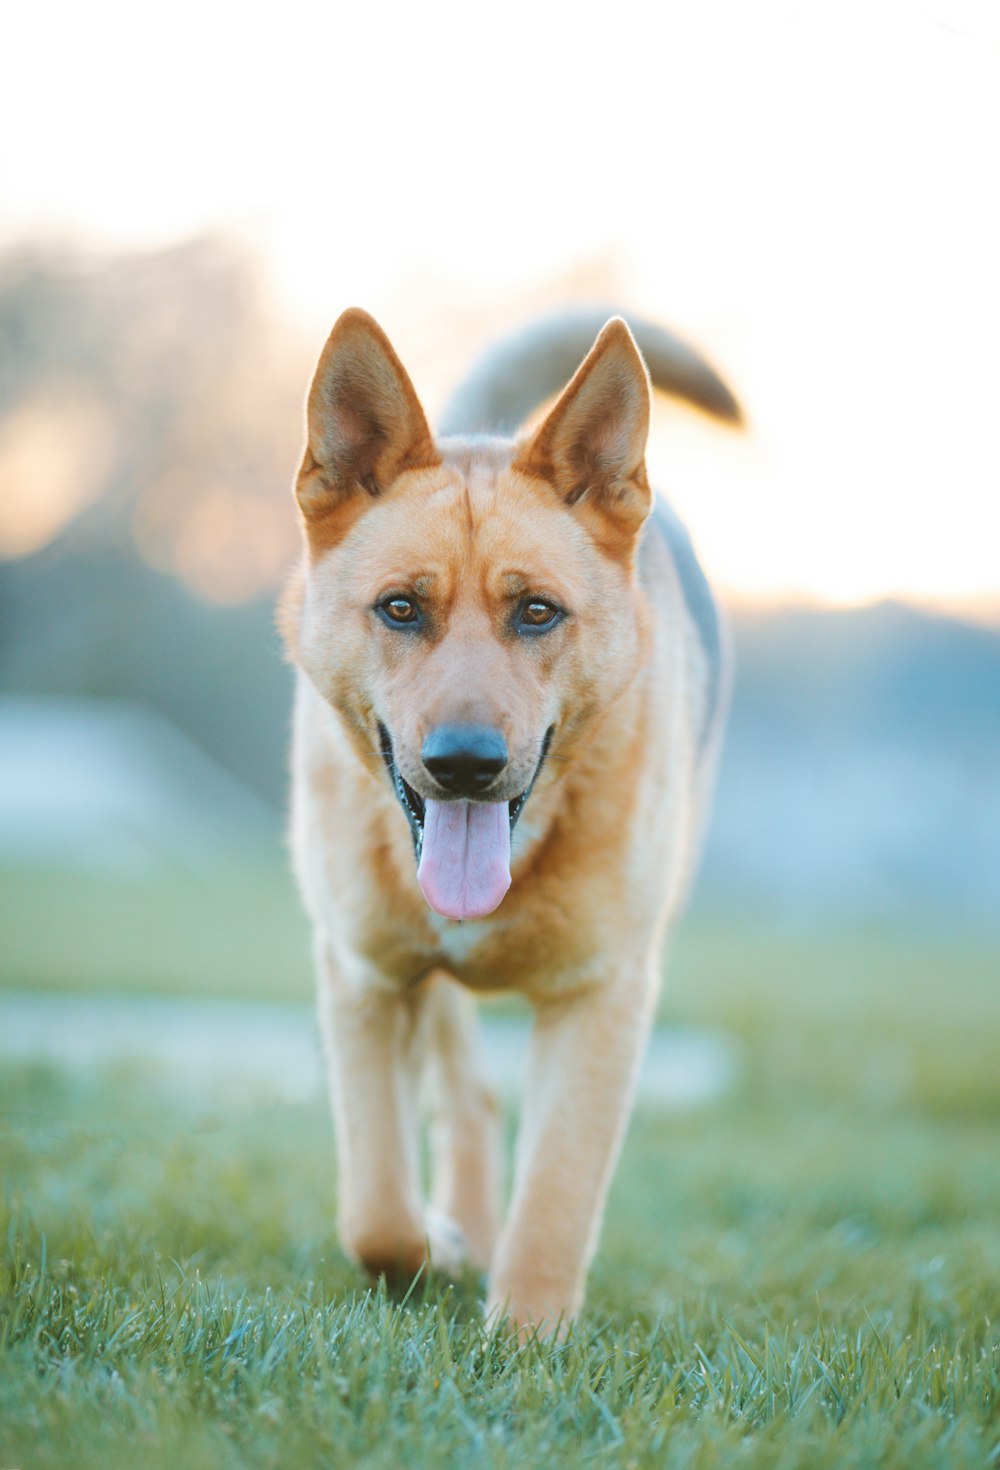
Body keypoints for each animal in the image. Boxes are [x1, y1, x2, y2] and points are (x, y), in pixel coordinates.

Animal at [277, 307, 738, 1334]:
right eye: (400, 608)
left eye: (535, 613)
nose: (465, 764)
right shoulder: (362, 975)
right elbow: (377, 1211)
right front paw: (438, 1247)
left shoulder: (603, 995)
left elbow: (558, 1190)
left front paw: (527, 1333)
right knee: (469, 1103)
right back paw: (460, 1229)